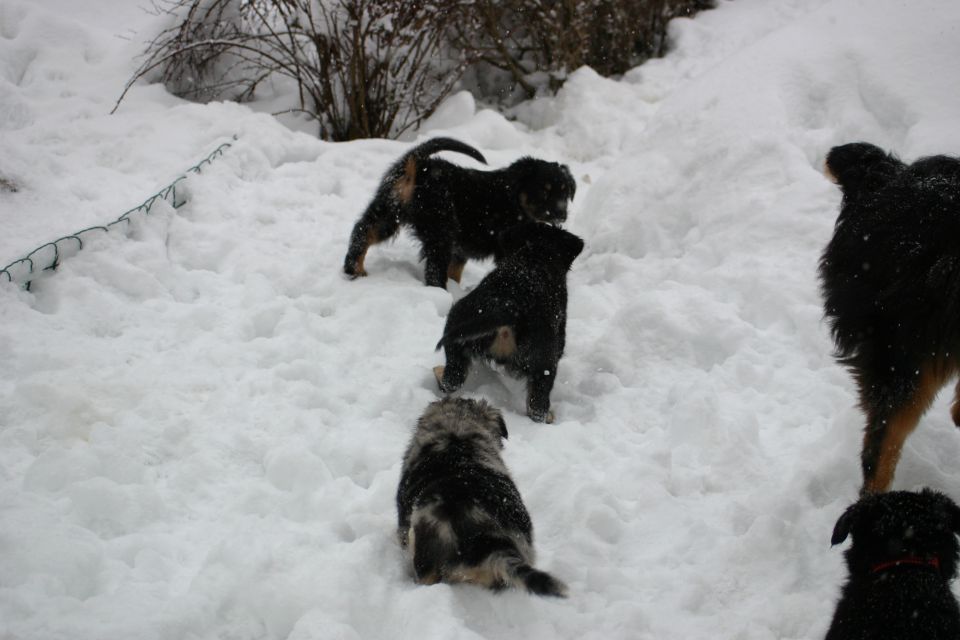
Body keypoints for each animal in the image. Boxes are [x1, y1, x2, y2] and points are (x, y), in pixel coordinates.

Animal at [342, 137, 572, 288]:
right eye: (544, 191)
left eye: (565, 192)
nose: (562, 214)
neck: (514, 198)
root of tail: (420, 163)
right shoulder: (507, 246)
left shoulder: (461, 251)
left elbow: (455, 272)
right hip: (439, 227)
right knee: (434, 269)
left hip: (388, 210)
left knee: (362, 231)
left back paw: (353, 270)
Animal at [436, 222, 584, 422]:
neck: (538, 254)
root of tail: (508, 304)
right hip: (545, 360)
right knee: (537, 405)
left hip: (456, 328)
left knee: (451, 380)